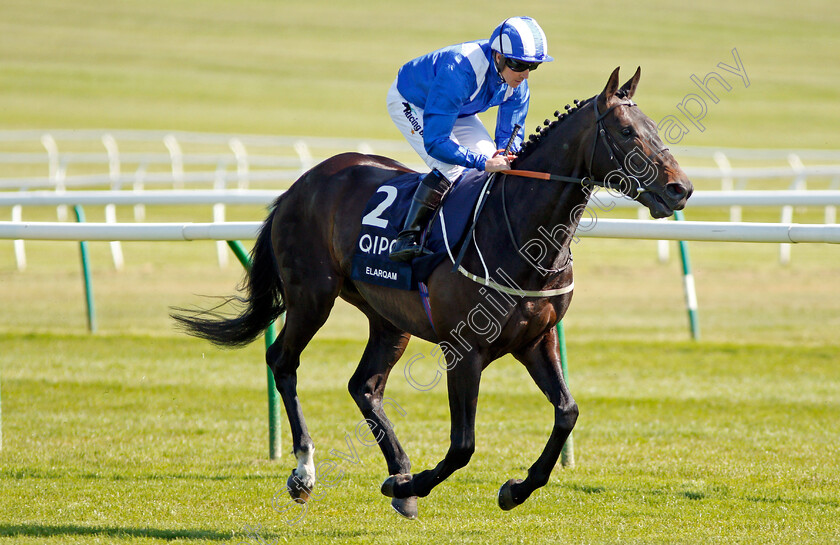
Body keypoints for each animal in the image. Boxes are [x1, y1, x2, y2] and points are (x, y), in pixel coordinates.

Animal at [174, 68, 692, 520]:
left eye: (651, 127)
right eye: (626, 131)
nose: (680, 188)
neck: (521, 232)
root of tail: (302, 183)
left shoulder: (535, 340)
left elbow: (567, 413)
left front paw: (513, 489)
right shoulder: (463, 350)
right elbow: (463, 445)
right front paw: (413, 484)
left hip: (388, 318)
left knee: (364, 386)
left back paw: (398, 475)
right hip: (311, 296)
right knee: (283, 361)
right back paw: (306, 473)